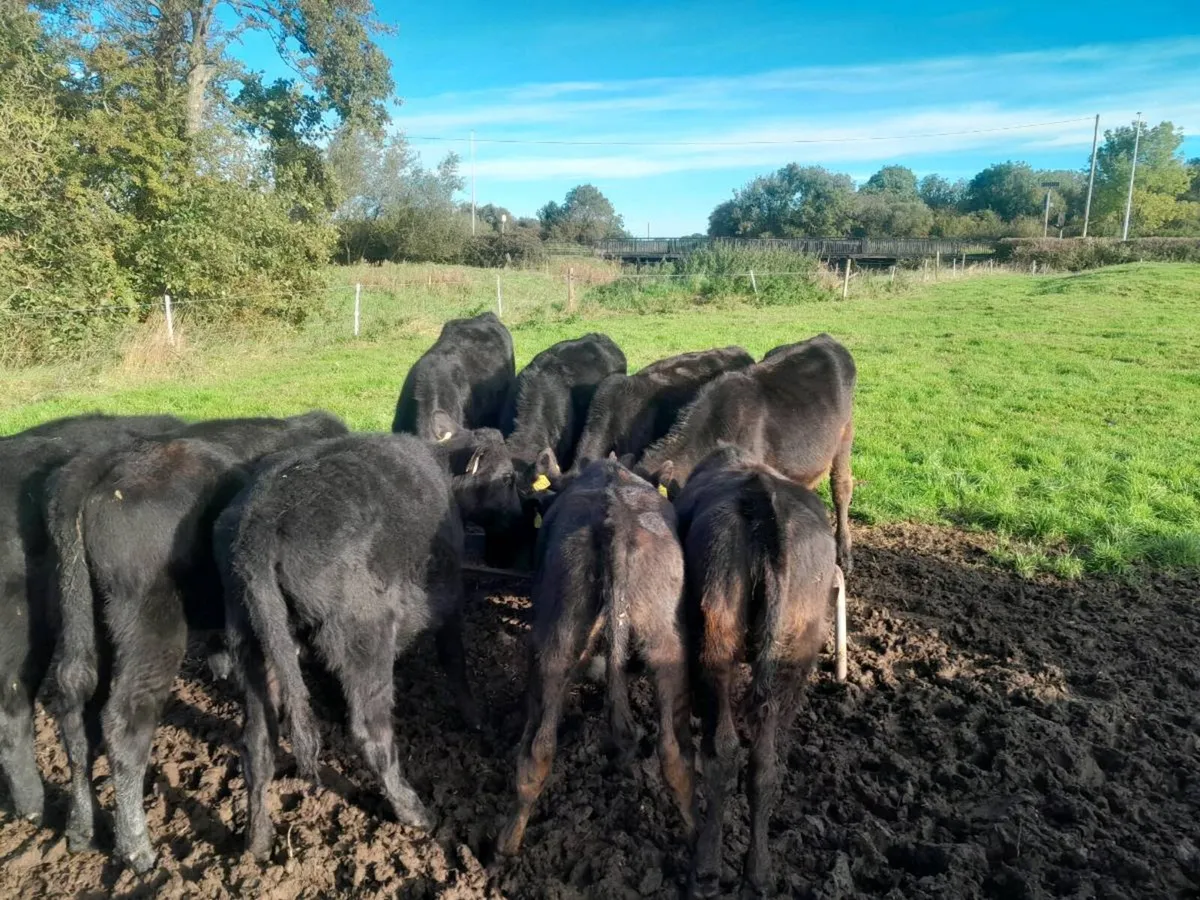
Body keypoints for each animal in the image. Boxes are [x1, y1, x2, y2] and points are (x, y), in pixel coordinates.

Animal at [48, 411, 347, 872]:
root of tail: (100, 466)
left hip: (82, 622)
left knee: (76, 708)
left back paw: (81, 830)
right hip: (153, 629)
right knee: (123, 721)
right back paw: (136, 848)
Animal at [215, 433, 479, 861]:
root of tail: (261, 520)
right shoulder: (450, 599)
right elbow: (455, 660)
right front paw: (474, 717)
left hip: (255, 647)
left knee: (257, 744)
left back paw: (258, 842)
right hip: (367, 640)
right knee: (371, 733)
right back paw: (414, 811)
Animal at [496, 459, 695, 857]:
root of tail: (614, 516)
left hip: (556, 639)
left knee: (539, 749)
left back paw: (506, 844)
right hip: (667, 645)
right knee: (672, 751)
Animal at [673, 445, 842, 898]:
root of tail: (764, 505)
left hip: (715, 647)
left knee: (724, 753)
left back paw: (707, 869)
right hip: (793, 657)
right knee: (764, 763)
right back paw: (759, 873)